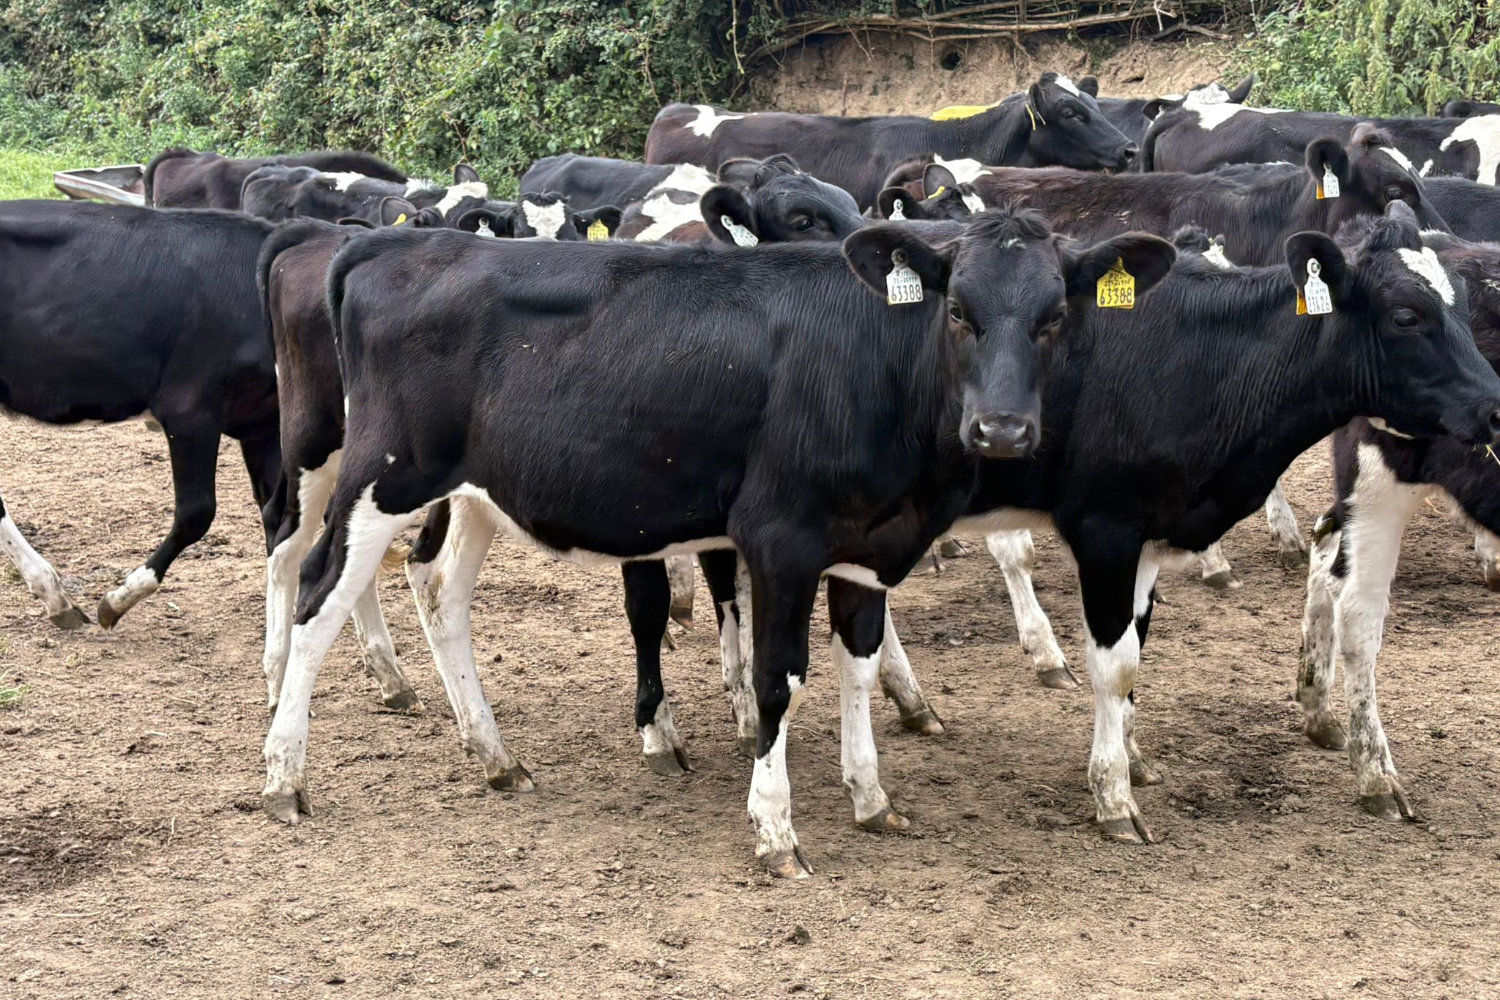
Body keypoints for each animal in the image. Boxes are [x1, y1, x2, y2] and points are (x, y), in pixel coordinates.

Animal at [257, 211, 1176, 881]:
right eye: (958, 311)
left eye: (1055, 318)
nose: (1003, 429)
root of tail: (389, 241)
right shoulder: (779, 541)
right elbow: (778, 682)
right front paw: (775, 830)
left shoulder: (867, 544)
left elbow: (858, 668)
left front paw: (871, 795)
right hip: (379, 473)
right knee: (316, 593)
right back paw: (283, 777)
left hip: (476, 491)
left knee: (441, 590)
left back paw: (495, 756)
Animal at [1298, 225, 1500, 822]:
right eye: (1408, 318)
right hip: (1378, 485)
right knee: (1358, 612)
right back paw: (1376, 777)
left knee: (1324, 548)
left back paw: (1318, 709)